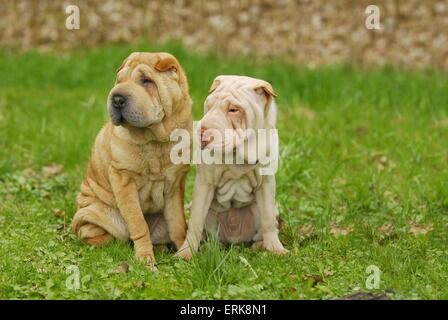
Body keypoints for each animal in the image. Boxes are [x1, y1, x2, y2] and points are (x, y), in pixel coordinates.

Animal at [72, 52, 192, 270]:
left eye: (147, 81)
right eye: (119, 81)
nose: (117, 98)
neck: (155, 140)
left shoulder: (175, 183)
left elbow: (179, 223)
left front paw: (184, 252)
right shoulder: (123, 179)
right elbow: (138, 222)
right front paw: (145, 259)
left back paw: (161, 248)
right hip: (94, 213)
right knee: (93, 233)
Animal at [175, 75, 288, 260]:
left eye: (233, 110)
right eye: (209, 105)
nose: (202, 133)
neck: (237, 153)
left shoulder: (266, 184)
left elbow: (269, 220)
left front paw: (276, 249)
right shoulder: (205, 183)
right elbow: (195, 222)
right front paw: (186, 253)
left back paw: (260, 245)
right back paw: (210, 247)